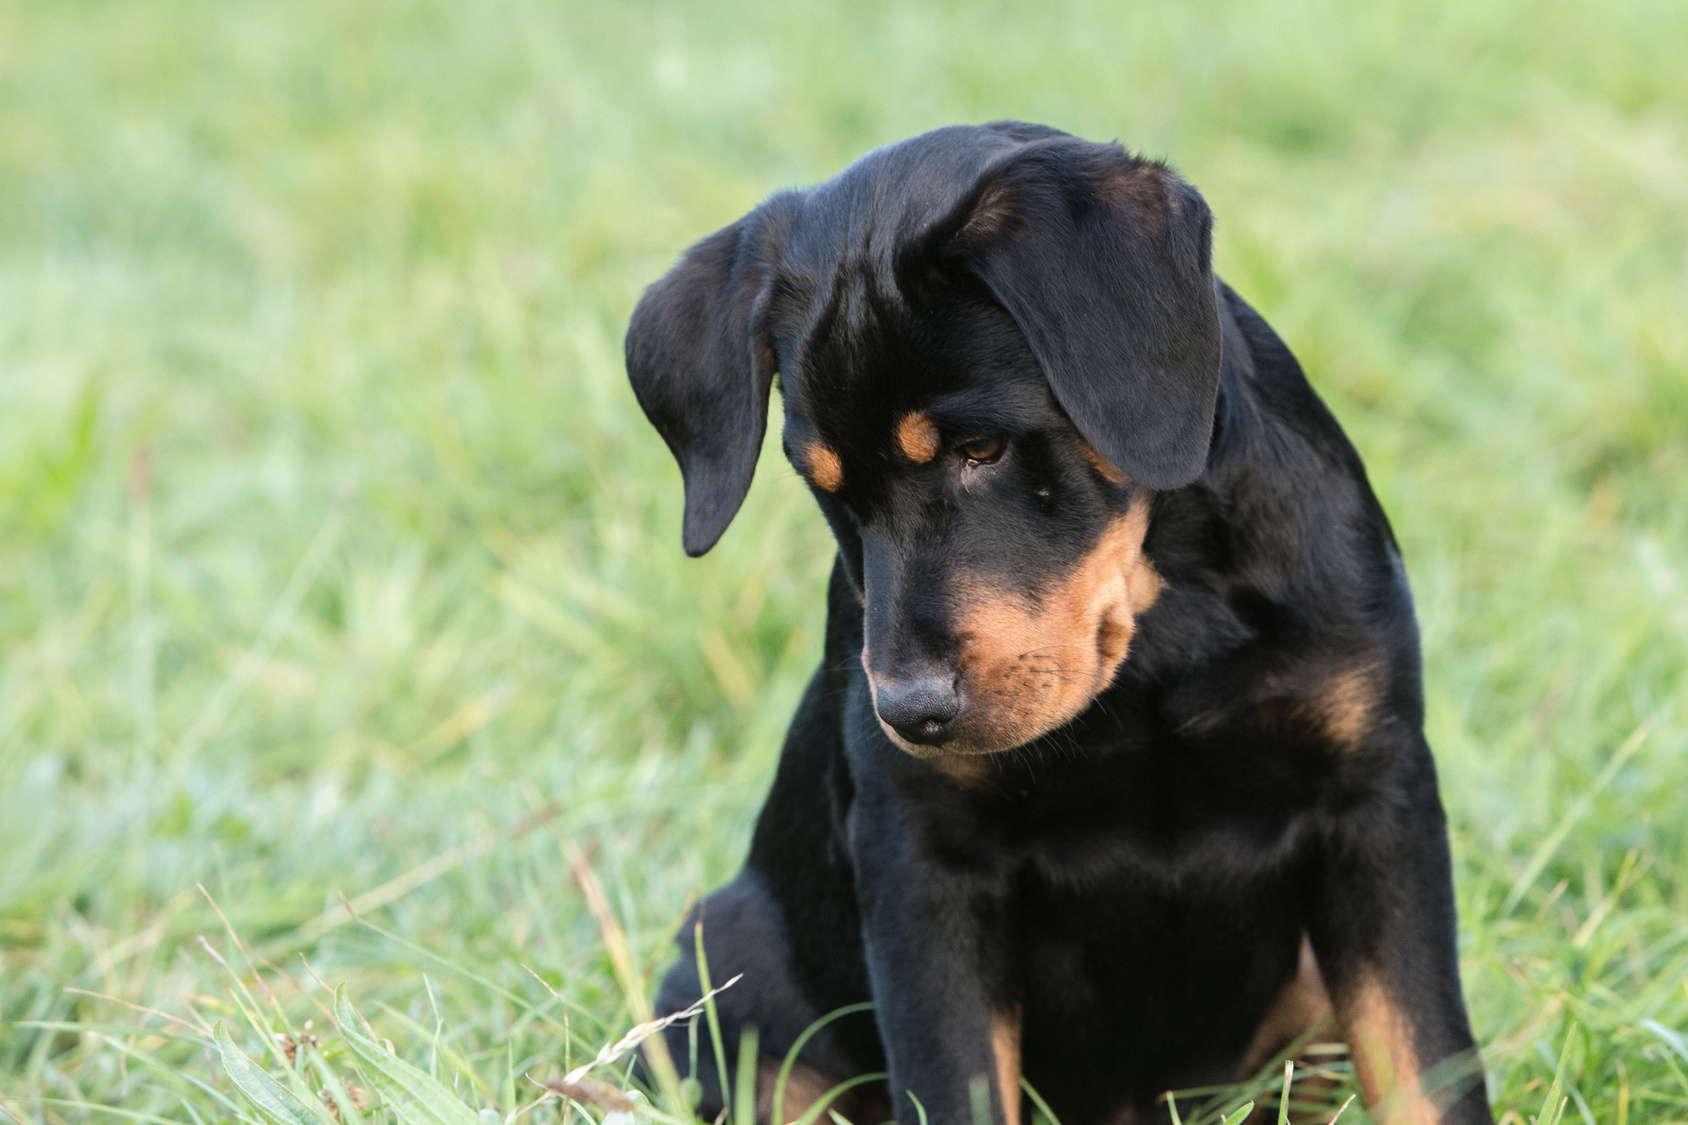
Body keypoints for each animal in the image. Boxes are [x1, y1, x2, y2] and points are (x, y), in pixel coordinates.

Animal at [624, 120, 1492, 1121]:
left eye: (982, 448)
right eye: (828, 487)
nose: (910, 713)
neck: (1158, 639)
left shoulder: (1375, 798)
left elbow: (1426, 1063)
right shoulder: (922, 862)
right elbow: (957, 1088)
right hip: (726, 977)